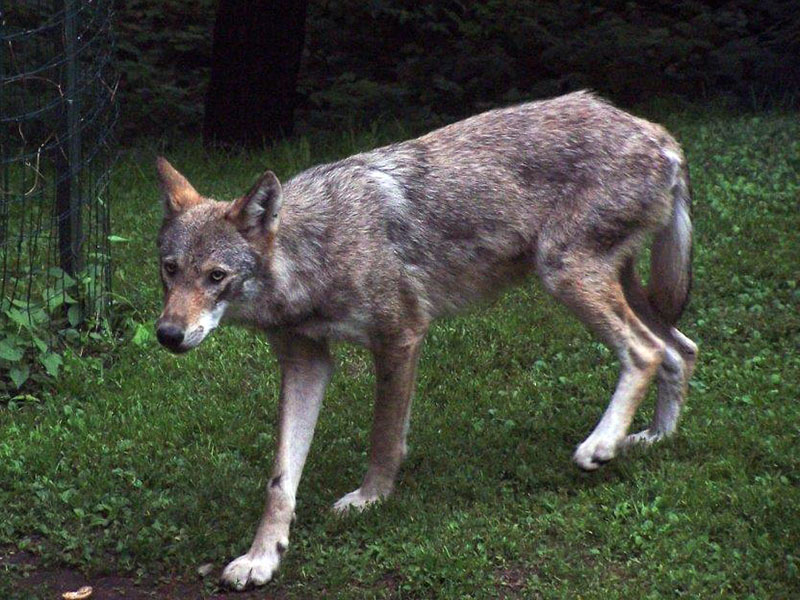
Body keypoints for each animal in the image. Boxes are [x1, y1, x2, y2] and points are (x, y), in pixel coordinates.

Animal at [154, 91, 698, 589]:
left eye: (217, 276)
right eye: (170, 270)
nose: (166, 334)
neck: (312, 253)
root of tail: (659, 133)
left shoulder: (400, 337)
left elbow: (383, 438)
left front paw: (369, 500)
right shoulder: (306, 364)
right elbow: (279, 480)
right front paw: (262, 558)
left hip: (565, 277)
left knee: (647, 352)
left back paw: (602, 445)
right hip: (618, 286)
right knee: (681, 349)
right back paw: (653, 440)